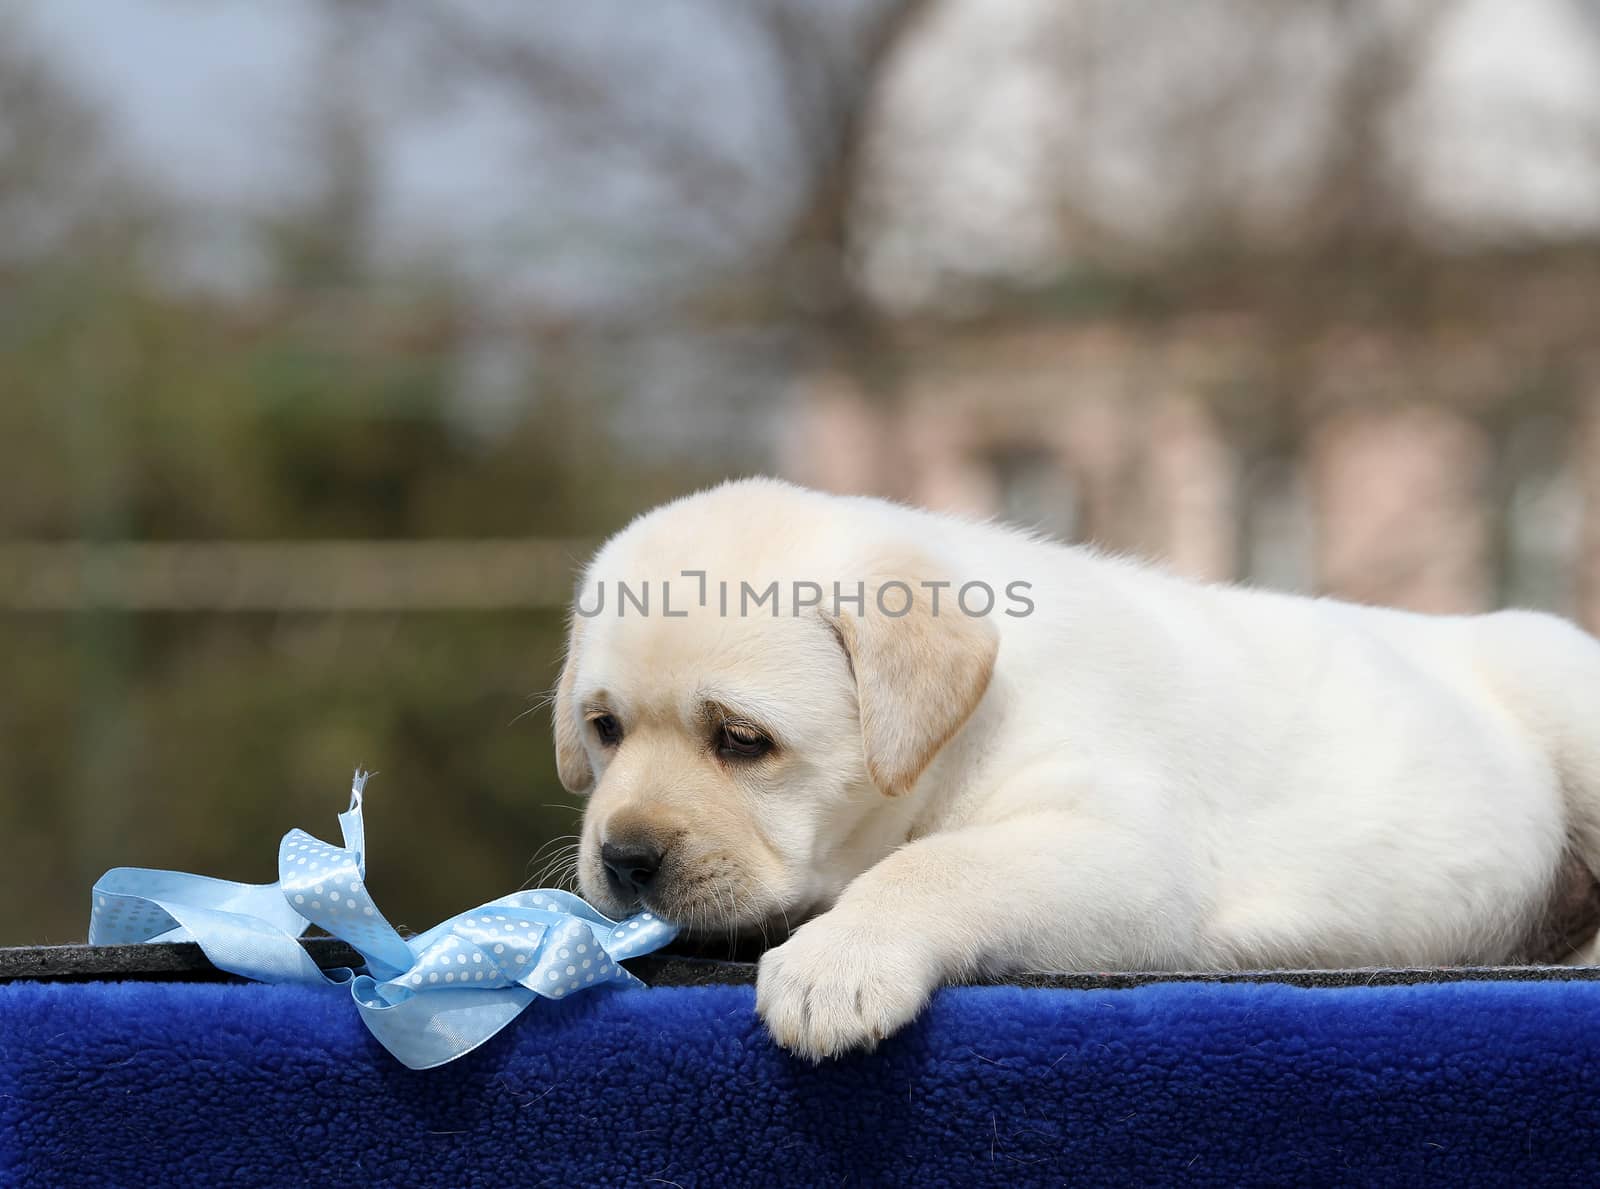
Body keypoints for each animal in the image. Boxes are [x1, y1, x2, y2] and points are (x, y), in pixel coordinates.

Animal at [556, 480, 1600, 1056]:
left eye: (741, 739)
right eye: (603, 729)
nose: (626, 857)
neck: (970, 727)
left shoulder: (1125, 854)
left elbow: (939, 865)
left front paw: (838, 962)